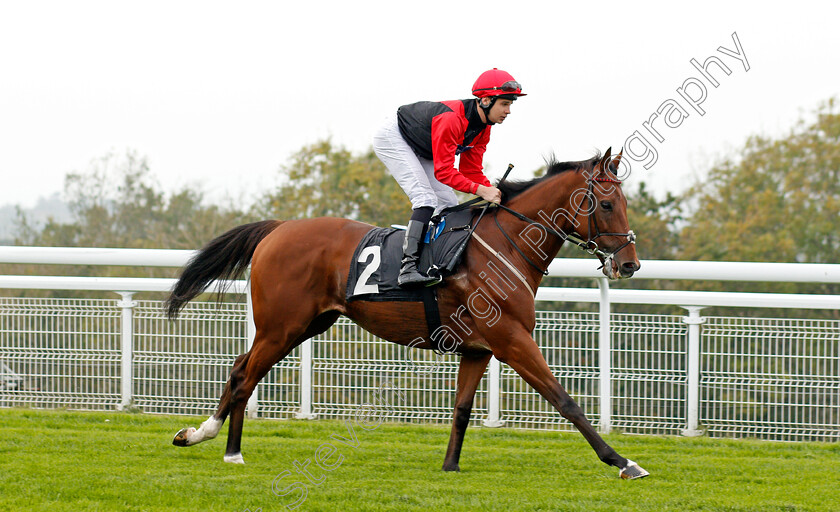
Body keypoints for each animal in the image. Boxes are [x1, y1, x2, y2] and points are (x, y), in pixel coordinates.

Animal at [166, 147, 648, 480]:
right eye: (607, 204)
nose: (629, 264)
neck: (506, 244)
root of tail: (279, 228)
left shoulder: (479, 349)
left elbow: (462, 408)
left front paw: (450, 466)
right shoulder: (511, 339)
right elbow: (565, 400)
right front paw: (622, 461)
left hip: (303, 325)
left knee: (239, 368)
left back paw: (197, 433)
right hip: (282, 326)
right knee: (247, 375)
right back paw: (230, 450)